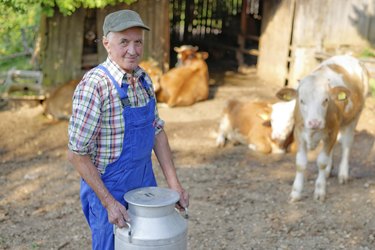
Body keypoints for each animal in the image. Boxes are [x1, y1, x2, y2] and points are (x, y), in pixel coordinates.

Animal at [278, 54, 372, 201]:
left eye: (326, 100)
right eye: (301, 101)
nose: (314, 122)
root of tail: (347, 55)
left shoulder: (331, 132)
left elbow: (321, 161)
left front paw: (320, 191)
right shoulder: (299, 133)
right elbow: (300, 163)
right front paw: (296, 192)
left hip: (354, 117)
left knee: (347, 145)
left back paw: (343, 174)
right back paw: (329, 170)